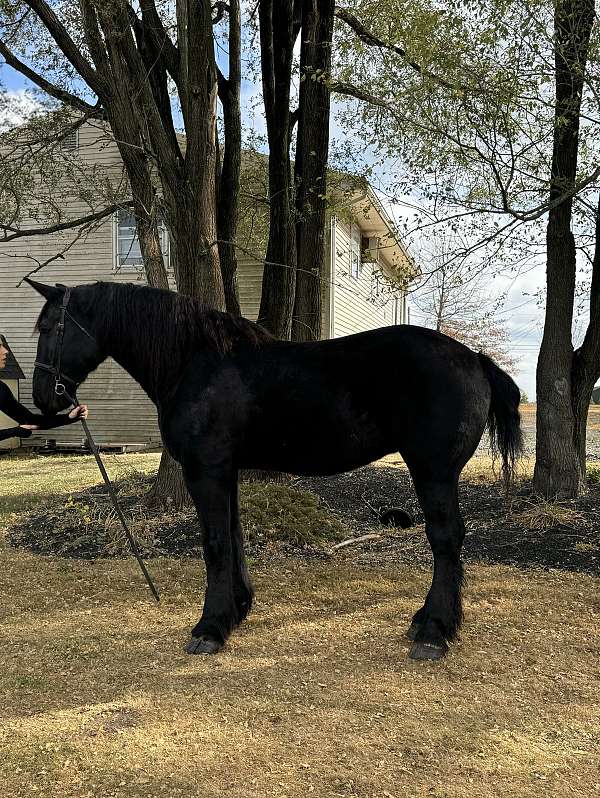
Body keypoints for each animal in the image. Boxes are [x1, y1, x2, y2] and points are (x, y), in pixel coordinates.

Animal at [27, 282, 520, 664]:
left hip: (433, 472)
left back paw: (434, 631)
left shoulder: (205, 471)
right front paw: (236, 611)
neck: (196, 362)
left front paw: (209, 628)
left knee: (446, 540)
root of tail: (473, 358)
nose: (45, 400)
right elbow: (234, 536)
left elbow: (214, 544)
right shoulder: (224, 471)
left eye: (50, 328)